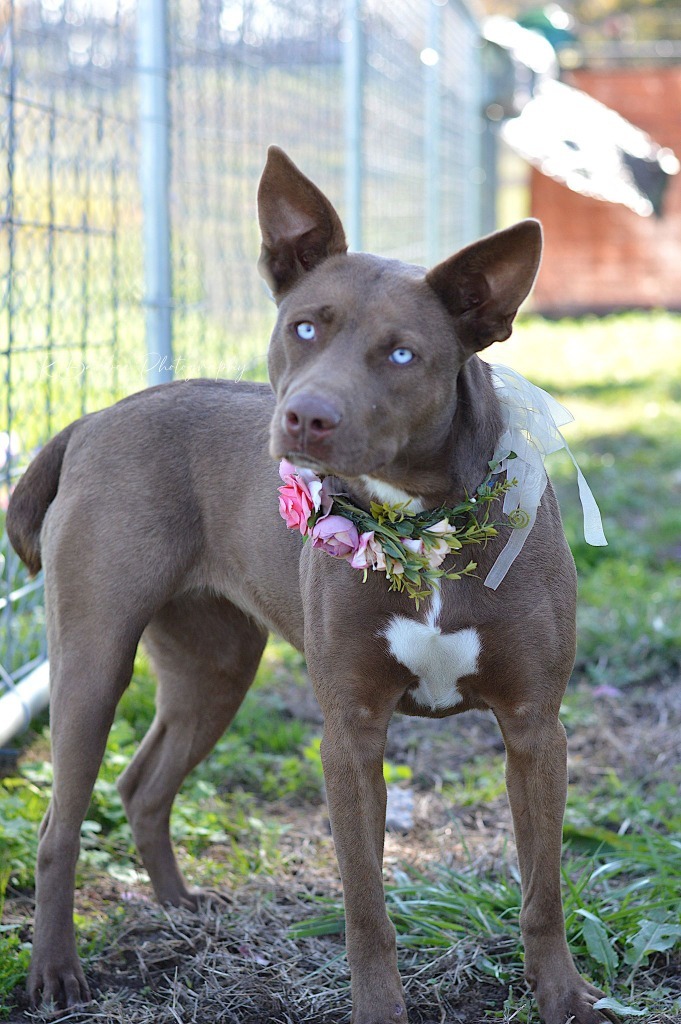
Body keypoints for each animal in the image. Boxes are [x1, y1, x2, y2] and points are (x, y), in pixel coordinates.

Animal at [5, 148, 614, 1019]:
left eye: (402, 353)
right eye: (303, 327)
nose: (306, 419)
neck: (418, 528)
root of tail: (93, 418)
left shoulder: (535, 730)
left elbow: (543, 891)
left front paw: (562, 997)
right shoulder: (349, 736)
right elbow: (364, 905)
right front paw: (379, 1010)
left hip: (214, 667)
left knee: (142, 785)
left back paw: (179, 908)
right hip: (91, 661)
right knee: (61, 822)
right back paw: (56, 972)